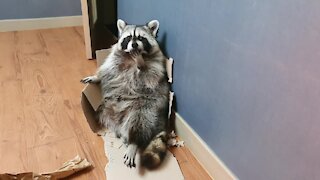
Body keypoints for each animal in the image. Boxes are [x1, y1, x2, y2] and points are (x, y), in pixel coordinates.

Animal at [80, 19, 170, 169]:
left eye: (141, 38)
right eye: (128, 38)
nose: (134, 45)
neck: (131, 56)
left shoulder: (157, 66)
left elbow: (149, 77)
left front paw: (140, 64)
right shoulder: (114, 60)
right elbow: (108, 71)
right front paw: (96, 77)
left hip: (146, 107)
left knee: (140, 120)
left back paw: (133, 142)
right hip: (105, 107)